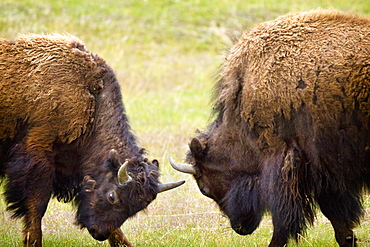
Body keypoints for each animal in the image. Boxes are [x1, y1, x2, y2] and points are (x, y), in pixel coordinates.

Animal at [0, 34, 185, 247]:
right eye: (112, 196)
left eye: (136, 208)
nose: (100, 233)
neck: (92, 101)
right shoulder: (37, 154)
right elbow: (37, 205)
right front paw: (33, 241)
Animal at [172, 9, 370, 247]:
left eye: (204, 187)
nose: (240, 228)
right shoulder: (325, 174)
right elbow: (337, 219)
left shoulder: (288, 163)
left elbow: (285, 222)